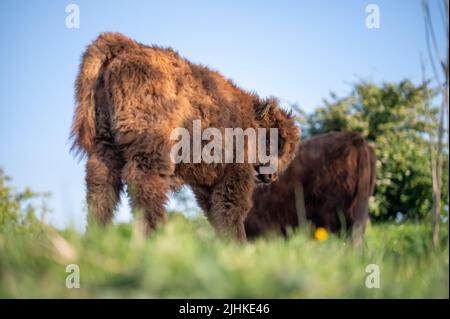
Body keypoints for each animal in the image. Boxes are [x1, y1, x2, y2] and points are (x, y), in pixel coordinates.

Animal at [72, 33, 300, 242]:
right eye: (279, 141)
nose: (272, 176)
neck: (249, 118)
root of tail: (127, 46)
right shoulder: (235, 173)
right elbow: (231, 210)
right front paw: (238, 245)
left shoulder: (207, 182)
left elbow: (215, 213)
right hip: (150, 144)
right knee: (144, 181)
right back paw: (157, 234)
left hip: (105, 143)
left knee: (101, 183)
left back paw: (96, 235)